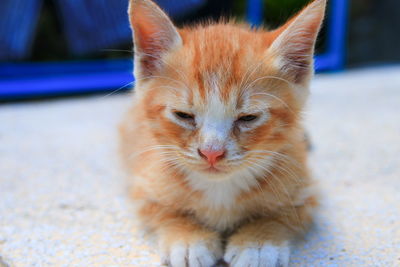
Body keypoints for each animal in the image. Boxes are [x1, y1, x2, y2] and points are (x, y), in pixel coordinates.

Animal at [120, 0, 326, 266]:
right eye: (183, 115)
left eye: (248, 118)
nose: (211, 153)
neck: (220, 190)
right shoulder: (144, 185)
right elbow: (164, 213)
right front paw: (187, 239)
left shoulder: (306, 189)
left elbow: (282, 216)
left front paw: (258, 243)